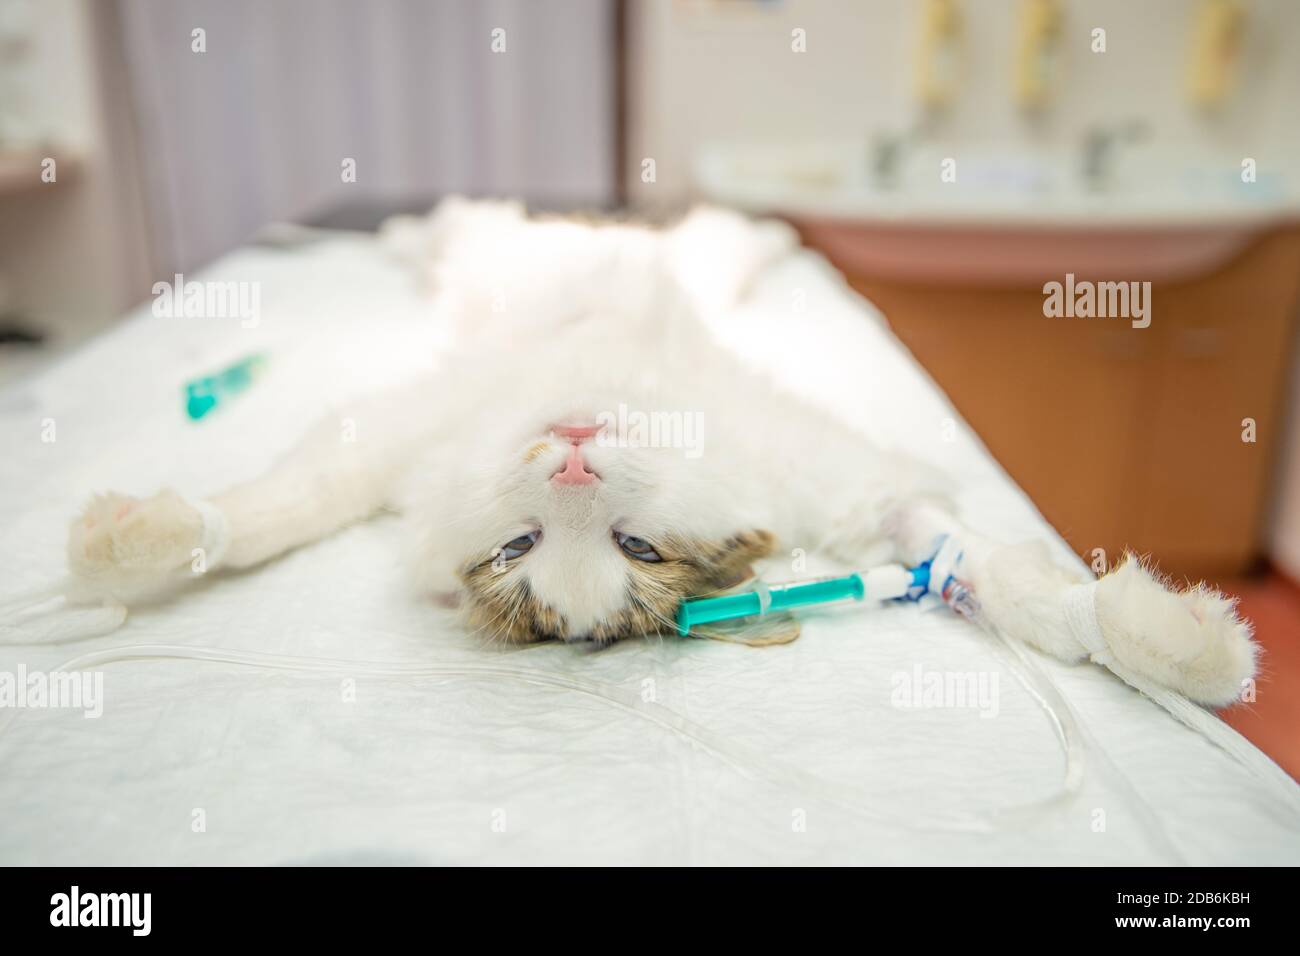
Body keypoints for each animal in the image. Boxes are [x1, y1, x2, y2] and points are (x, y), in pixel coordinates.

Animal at [63, 201, 1258, 707]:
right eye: (520, 547)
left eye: (635, 547)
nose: (572, 462)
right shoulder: (395, 442)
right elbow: (273, 508)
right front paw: (148, 542)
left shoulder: (843, 486)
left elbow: (997, 578)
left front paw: (1163, 641)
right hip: (483, 250)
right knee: (444, 228)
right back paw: (390, 234)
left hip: (643, 254)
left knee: (712, 233)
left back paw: (775, 232)